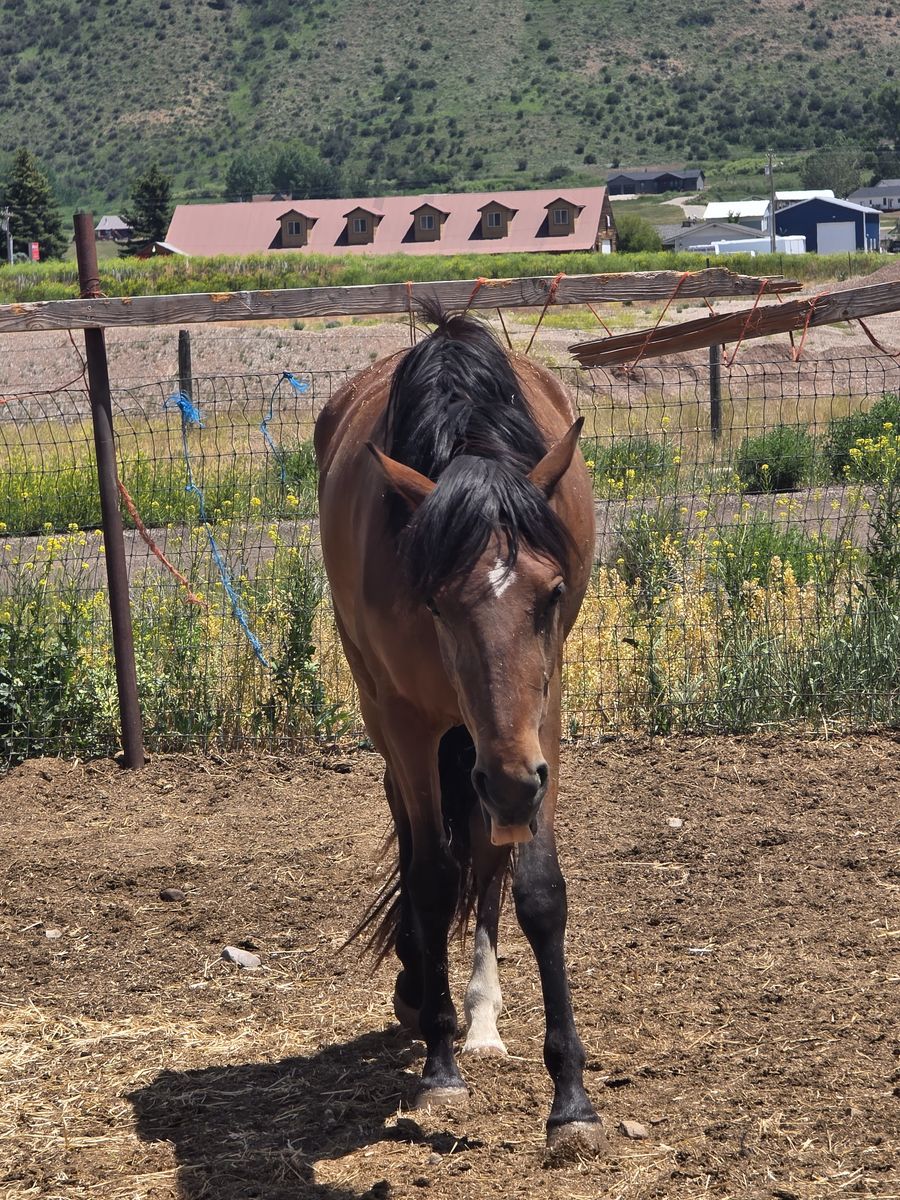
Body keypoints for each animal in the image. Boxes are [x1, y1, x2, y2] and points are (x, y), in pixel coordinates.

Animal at [314, 302, 604, 1155]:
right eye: (437, 600)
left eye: (551, 594)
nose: (511, 782)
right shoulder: (410, 721)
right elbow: (433, 876)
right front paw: (440, 1065)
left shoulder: (539, 719)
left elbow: (536, 888)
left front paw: (571, 1099)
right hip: (406, 721)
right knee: (423, 839)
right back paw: (426, 995)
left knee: (482, 844)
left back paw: (480, 1012)